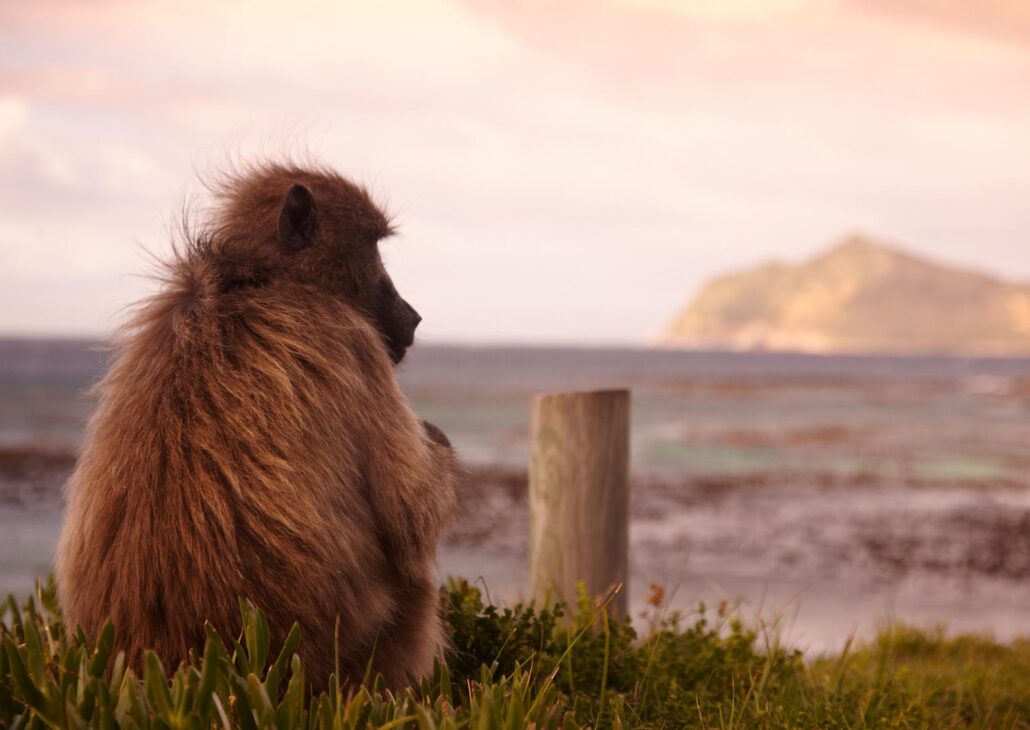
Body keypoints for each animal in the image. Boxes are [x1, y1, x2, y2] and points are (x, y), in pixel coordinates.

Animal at [54, 162, 459, 689]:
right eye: (374, 247)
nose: (412, 316)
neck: (255, 281)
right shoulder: (354, 341)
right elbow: (410, 516)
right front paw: (437, 442)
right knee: (414, 580)